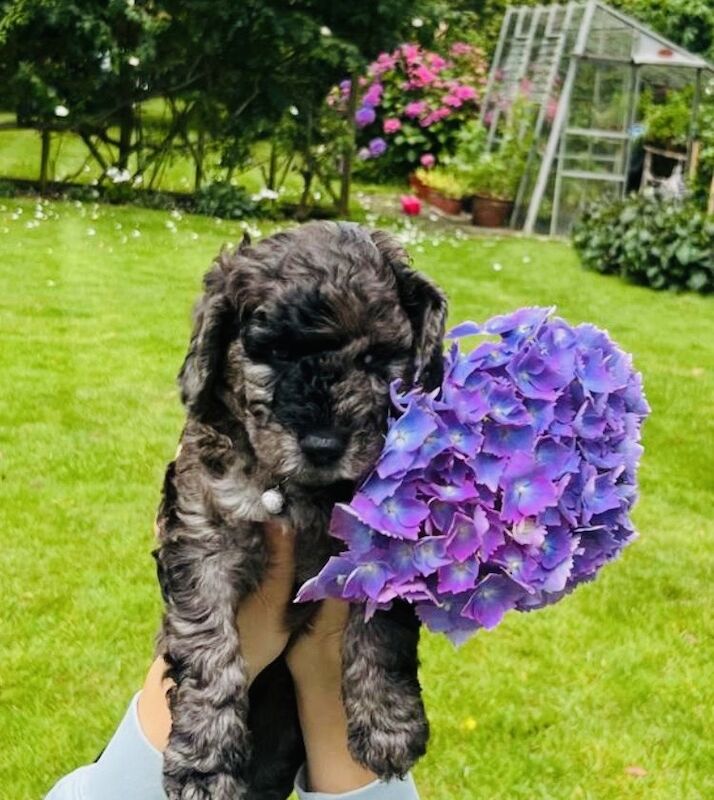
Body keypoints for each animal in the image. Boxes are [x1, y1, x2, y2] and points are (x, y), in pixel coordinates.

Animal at [152, 220, 444, 800]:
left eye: (375, 360)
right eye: (278, 353)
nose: (324, 445)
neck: (304, 493)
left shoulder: (390, 543)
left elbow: (384, 632)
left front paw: (389, 725)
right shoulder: (202, 530)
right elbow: (207, 644)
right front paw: (203, 762)